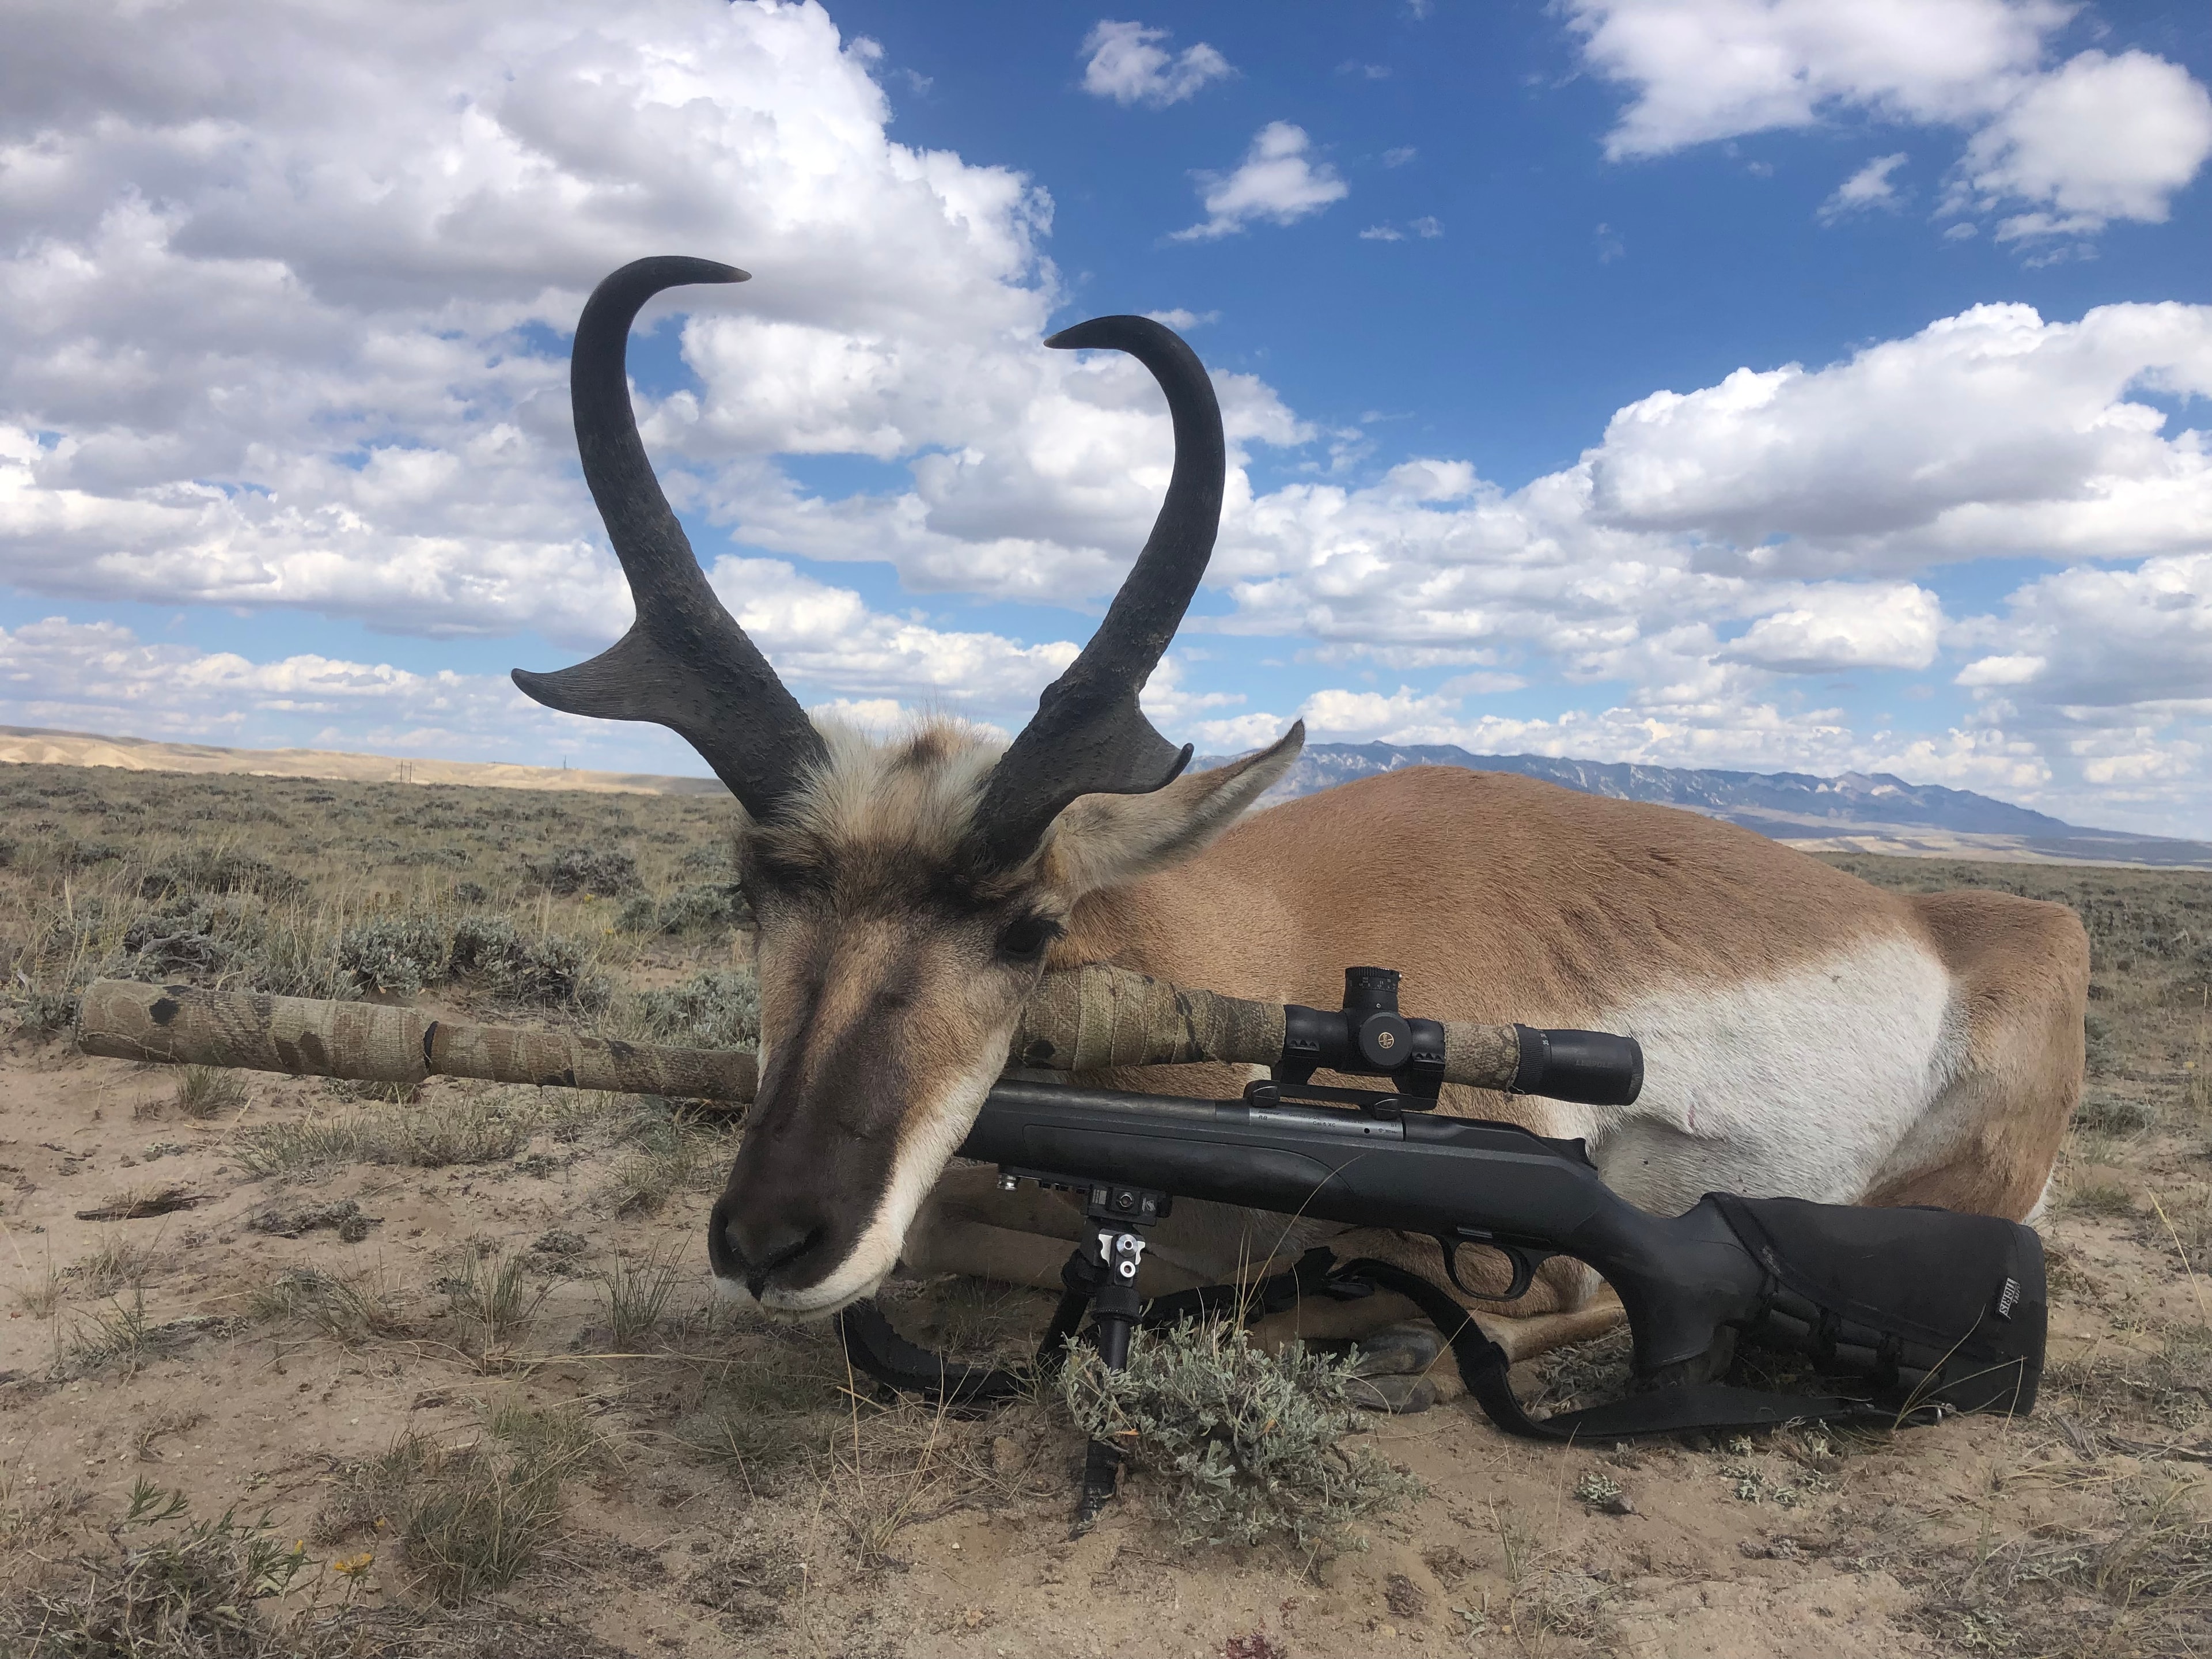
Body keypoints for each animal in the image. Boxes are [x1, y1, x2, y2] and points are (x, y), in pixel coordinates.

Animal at [517, 257, 2089, 1410]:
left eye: (1027, 925)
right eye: (752, 887)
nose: (776, 1235)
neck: (1254, 927)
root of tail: (1993, 917)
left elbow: (1443, 1280)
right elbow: (991, 1232)